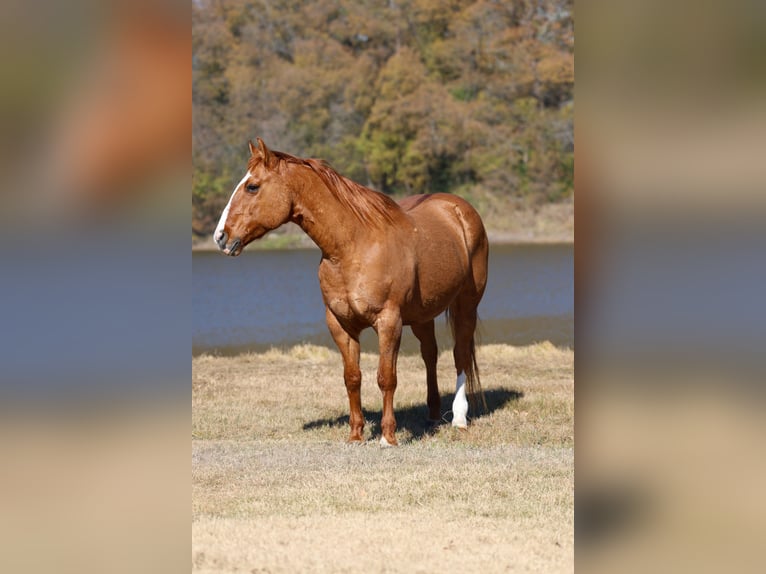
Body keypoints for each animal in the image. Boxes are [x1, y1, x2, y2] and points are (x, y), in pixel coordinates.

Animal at [214, 139, 489, 446]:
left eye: (252, 186)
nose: (220, 237)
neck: (353, 247)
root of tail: (459, 209)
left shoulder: (388, 322)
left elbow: (386, 377)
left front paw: (388, 437)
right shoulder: (340, 324)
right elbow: (352, 377)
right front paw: (356, 434)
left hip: (466, 305)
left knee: (460, 354)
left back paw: (459, 418)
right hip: (422, 315)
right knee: (430, 354)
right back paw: (432, 414)